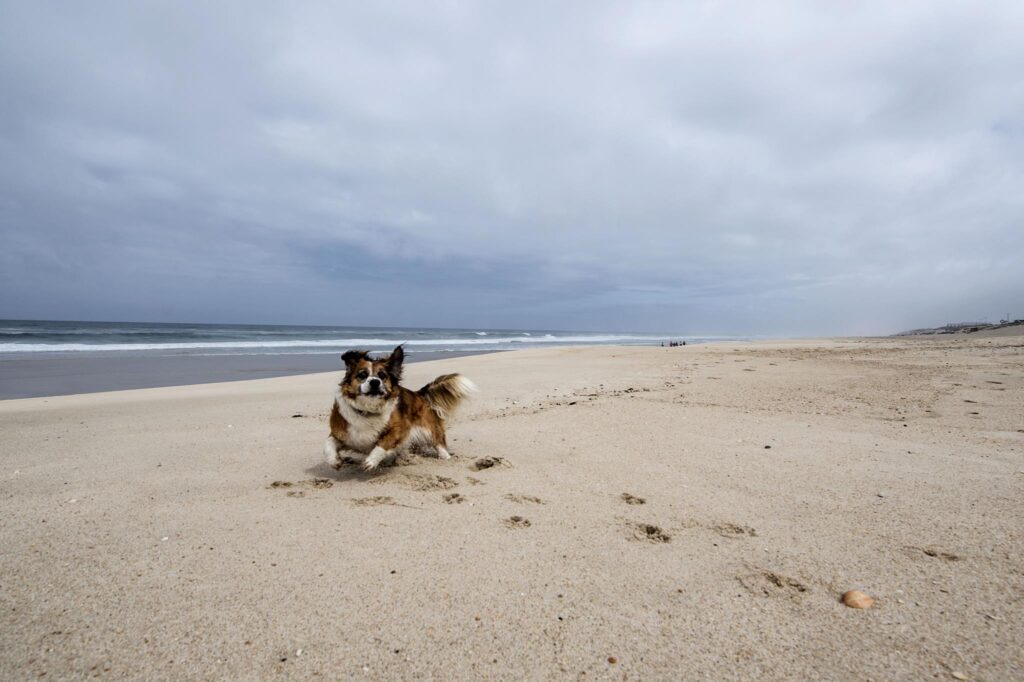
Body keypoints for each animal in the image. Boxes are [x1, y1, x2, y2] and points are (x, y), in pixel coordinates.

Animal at [321, 342, 477, 471]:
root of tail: (419, 393)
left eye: (382, 376)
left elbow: (383, 443)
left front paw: (371, 461)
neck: (368, 410)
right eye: (362, 375)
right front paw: (333, 461)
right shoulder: (341, 432)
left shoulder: (400, 429)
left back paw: (446, 458)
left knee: (439, 444)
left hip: (430, 430)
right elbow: (328, 444)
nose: (375, 382)